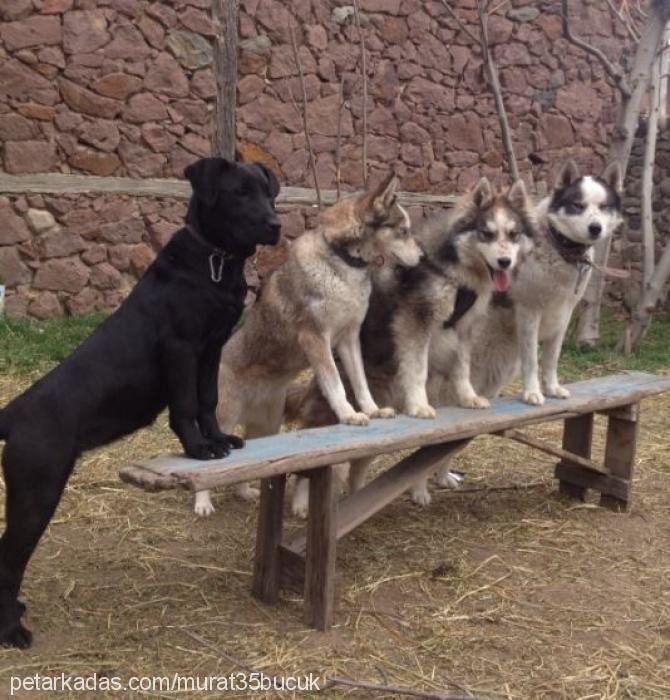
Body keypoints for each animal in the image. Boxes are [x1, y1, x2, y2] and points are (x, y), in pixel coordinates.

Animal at [0, 156, 280, 648]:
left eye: (267, 192)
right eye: (239, 193)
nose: (275, 224)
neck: (214, 261)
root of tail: (12, 414)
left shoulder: (211, 348)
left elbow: (208, 400)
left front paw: (220, 439)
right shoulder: (181, 347)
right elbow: (185, 405)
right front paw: (198, 448)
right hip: (35, 492)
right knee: (8, 562)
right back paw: (11, 630)